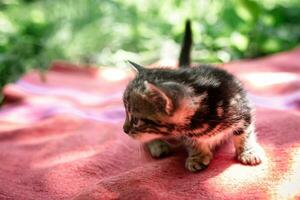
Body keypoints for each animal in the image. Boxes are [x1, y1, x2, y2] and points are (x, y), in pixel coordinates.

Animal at [122, 19, 262, 172]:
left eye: (136, 120)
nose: (124, 130)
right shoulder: (184, 132)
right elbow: (192, 141)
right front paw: (197, 156)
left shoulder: (243, 107)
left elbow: (244, 133)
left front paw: (248, 151)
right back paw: (158, 145)